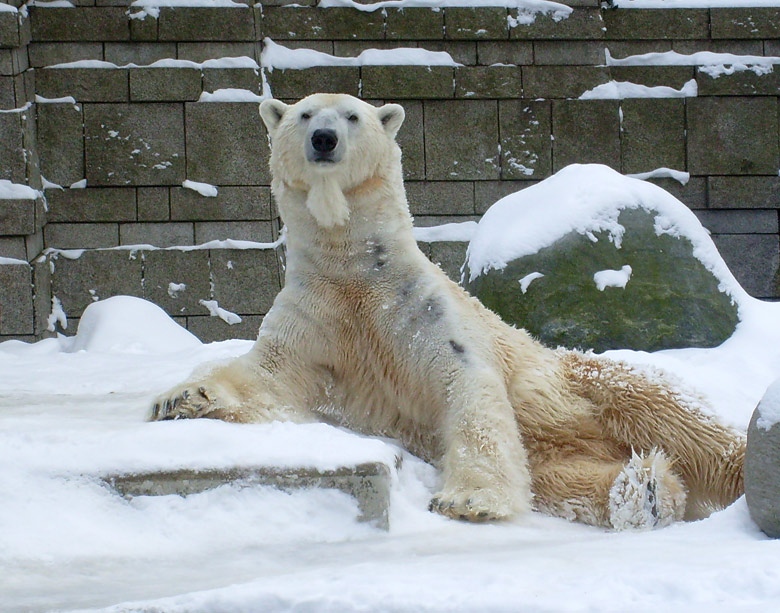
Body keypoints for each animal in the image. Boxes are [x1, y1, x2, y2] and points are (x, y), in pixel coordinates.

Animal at [151, 93, 744, 528]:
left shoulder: (420, 310)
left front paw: (468, 501)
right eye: (303, 115)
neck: (354, 270)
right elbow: (268, 375)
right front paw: (181, 398)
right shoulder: (316, 315)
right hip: (551, 452)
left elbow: (466, 384)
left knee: (672, 416)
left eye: (352, 115)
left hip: (583, 380)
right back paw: (645, 493)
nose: (323, 139)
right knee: (567, 481)